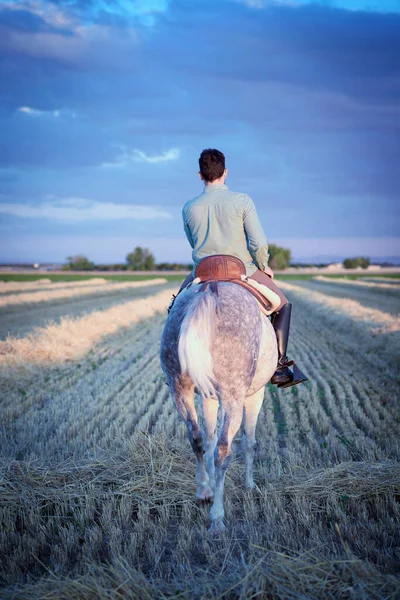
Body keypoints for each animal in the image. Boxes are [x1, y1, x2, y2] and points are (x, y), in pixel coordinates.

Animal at [159, 278, 278, 532]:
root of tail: (207, 292)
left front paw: (211, 484)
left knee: (196, 438)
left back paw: (204, 491)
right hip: (233, 396)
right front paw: (250, 485)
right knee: (224, 451)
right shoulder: (255, 395)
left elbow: (209, 439)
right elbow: (249, 442)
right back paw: (217, 518)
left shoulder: (209, 397)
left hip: (180, 390)